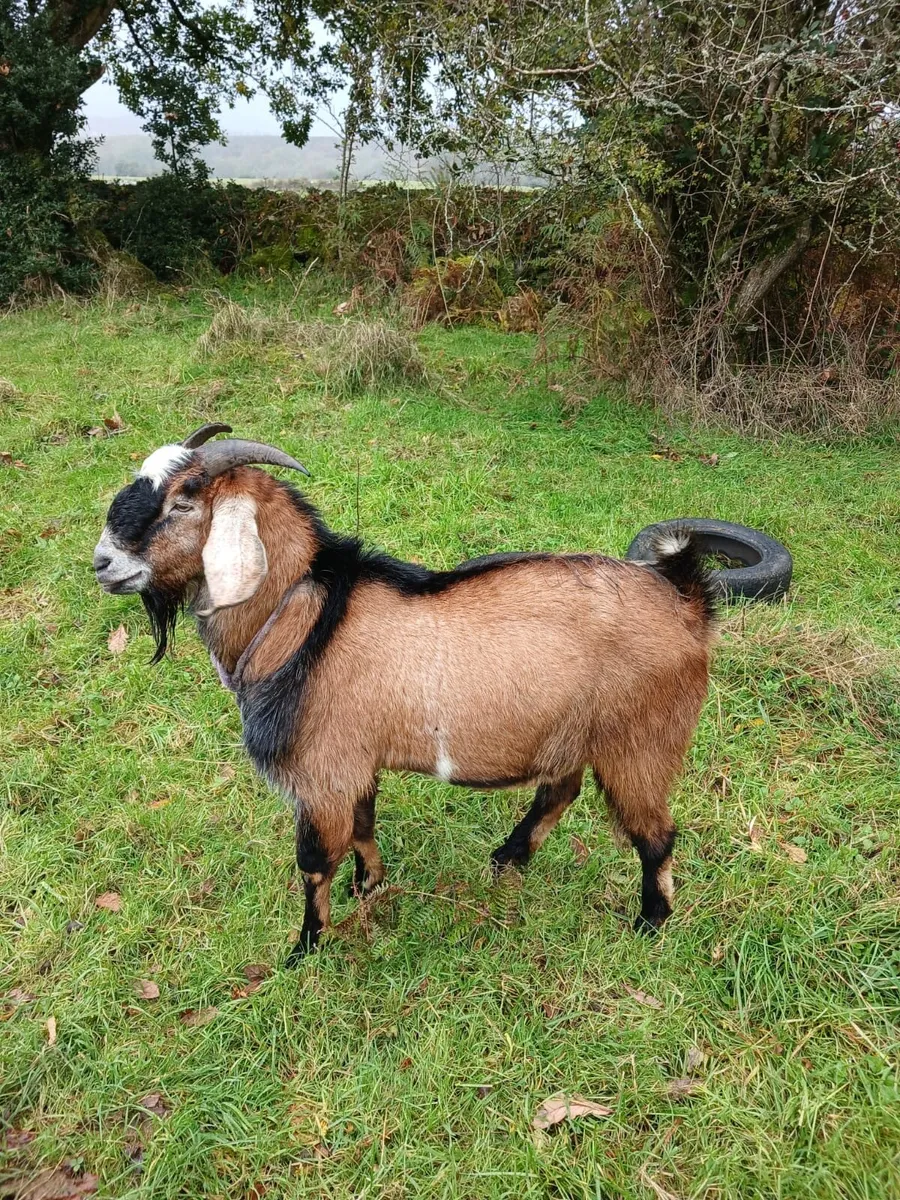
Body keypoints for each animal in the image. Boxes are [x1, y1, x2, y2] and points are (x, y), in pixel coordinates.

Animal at [94, 424, 716, 964]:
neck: (305, 617)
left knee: (655, 833)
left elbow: (313, 862)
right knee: (560, 791)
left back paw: (650, 920)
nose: (103, 562)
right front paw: (368, 883)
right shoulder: (356, 762)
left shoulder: (322, 772)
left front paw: (305, 948)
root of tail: (684, 603)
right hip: (572, 733)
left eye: (183, 501)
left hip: (640, 742)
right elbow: (364, 823)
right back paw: (507, 859)